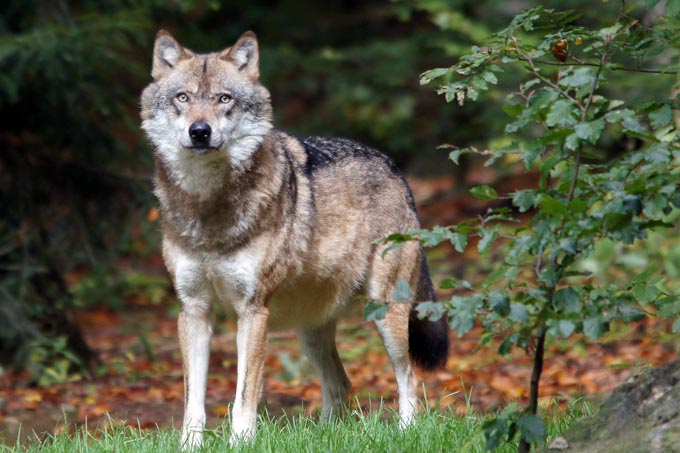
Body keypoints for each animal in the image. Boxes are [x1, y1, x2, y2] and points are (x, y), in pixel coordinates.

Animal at [140, 30, 450, 449]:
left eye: (224, 98)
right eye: (183, 97)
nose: (199, 131)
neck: (209, 207)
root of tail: (395, 169)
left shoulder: (253, 311)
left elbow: (243, 396)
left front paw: (241, 443)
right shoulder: (193, 310)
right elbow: (194, 401)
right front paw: (190, 446)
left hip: (386, 313)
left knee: (410, 379)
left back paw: (405, 433)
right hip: (310, 332)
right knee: (341, 384)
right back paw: (326, 434)